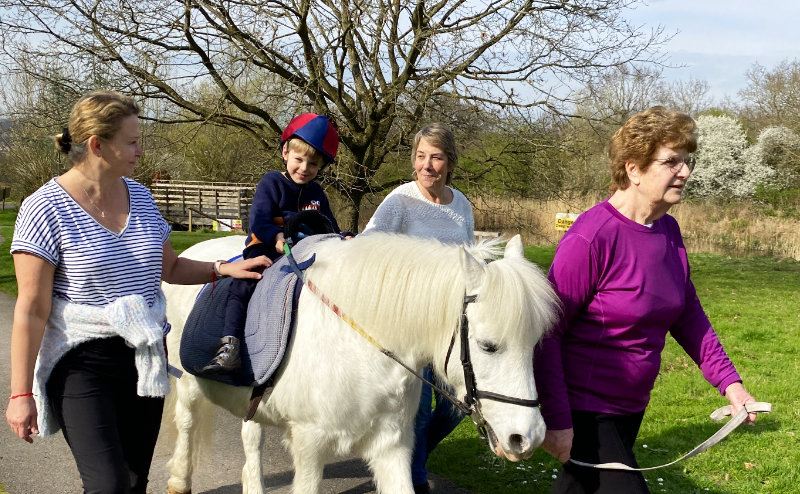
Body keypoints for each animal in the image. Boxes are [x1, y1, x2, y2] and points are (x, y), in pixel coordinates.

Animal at [162, 233, 560, 494]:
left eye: (534, 344)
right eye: (488, 346)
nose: (528, 437)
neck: (359, 346)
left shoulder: (392, 445)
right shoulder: (309, 445)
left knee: (251, 436)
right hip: (187, 384)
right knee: (186, 423)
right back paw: (179, 480)